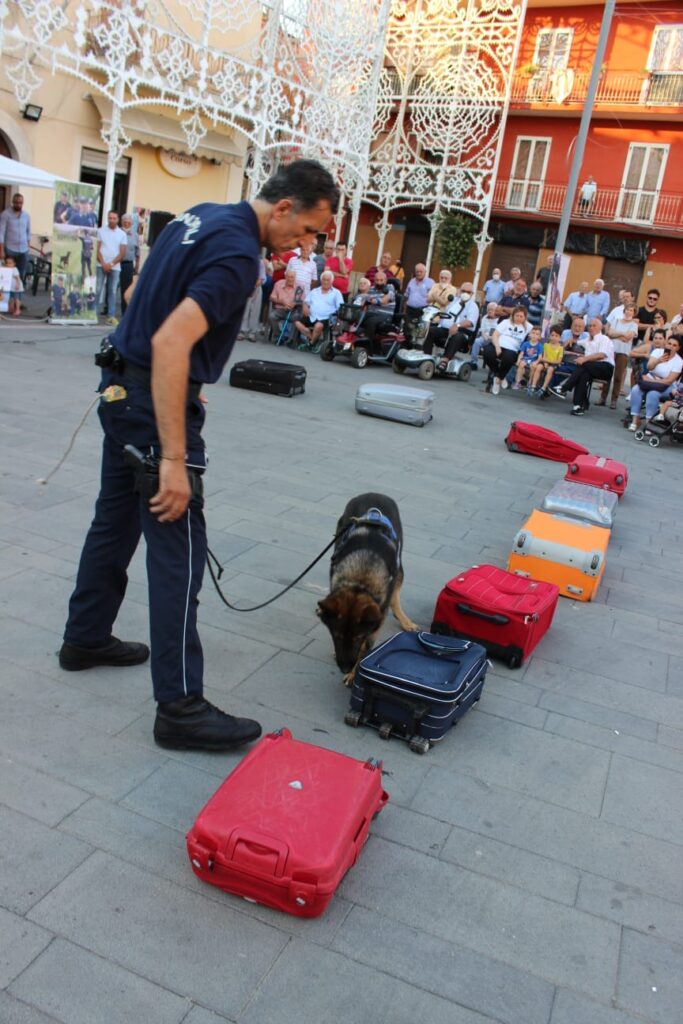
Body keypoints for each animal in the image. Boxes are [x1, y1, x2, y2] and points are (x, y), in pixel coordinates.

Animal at [317, 491, 417, 684]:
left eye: (358, 637)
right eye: (336, 635)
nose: (344, 668)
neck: (361, 580)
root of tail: (375, 493)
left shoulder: (374, 625)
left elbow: (365, 650)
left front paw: (354, 673)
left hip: (400, 566)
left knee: (395, 597)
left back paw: (405, 621)